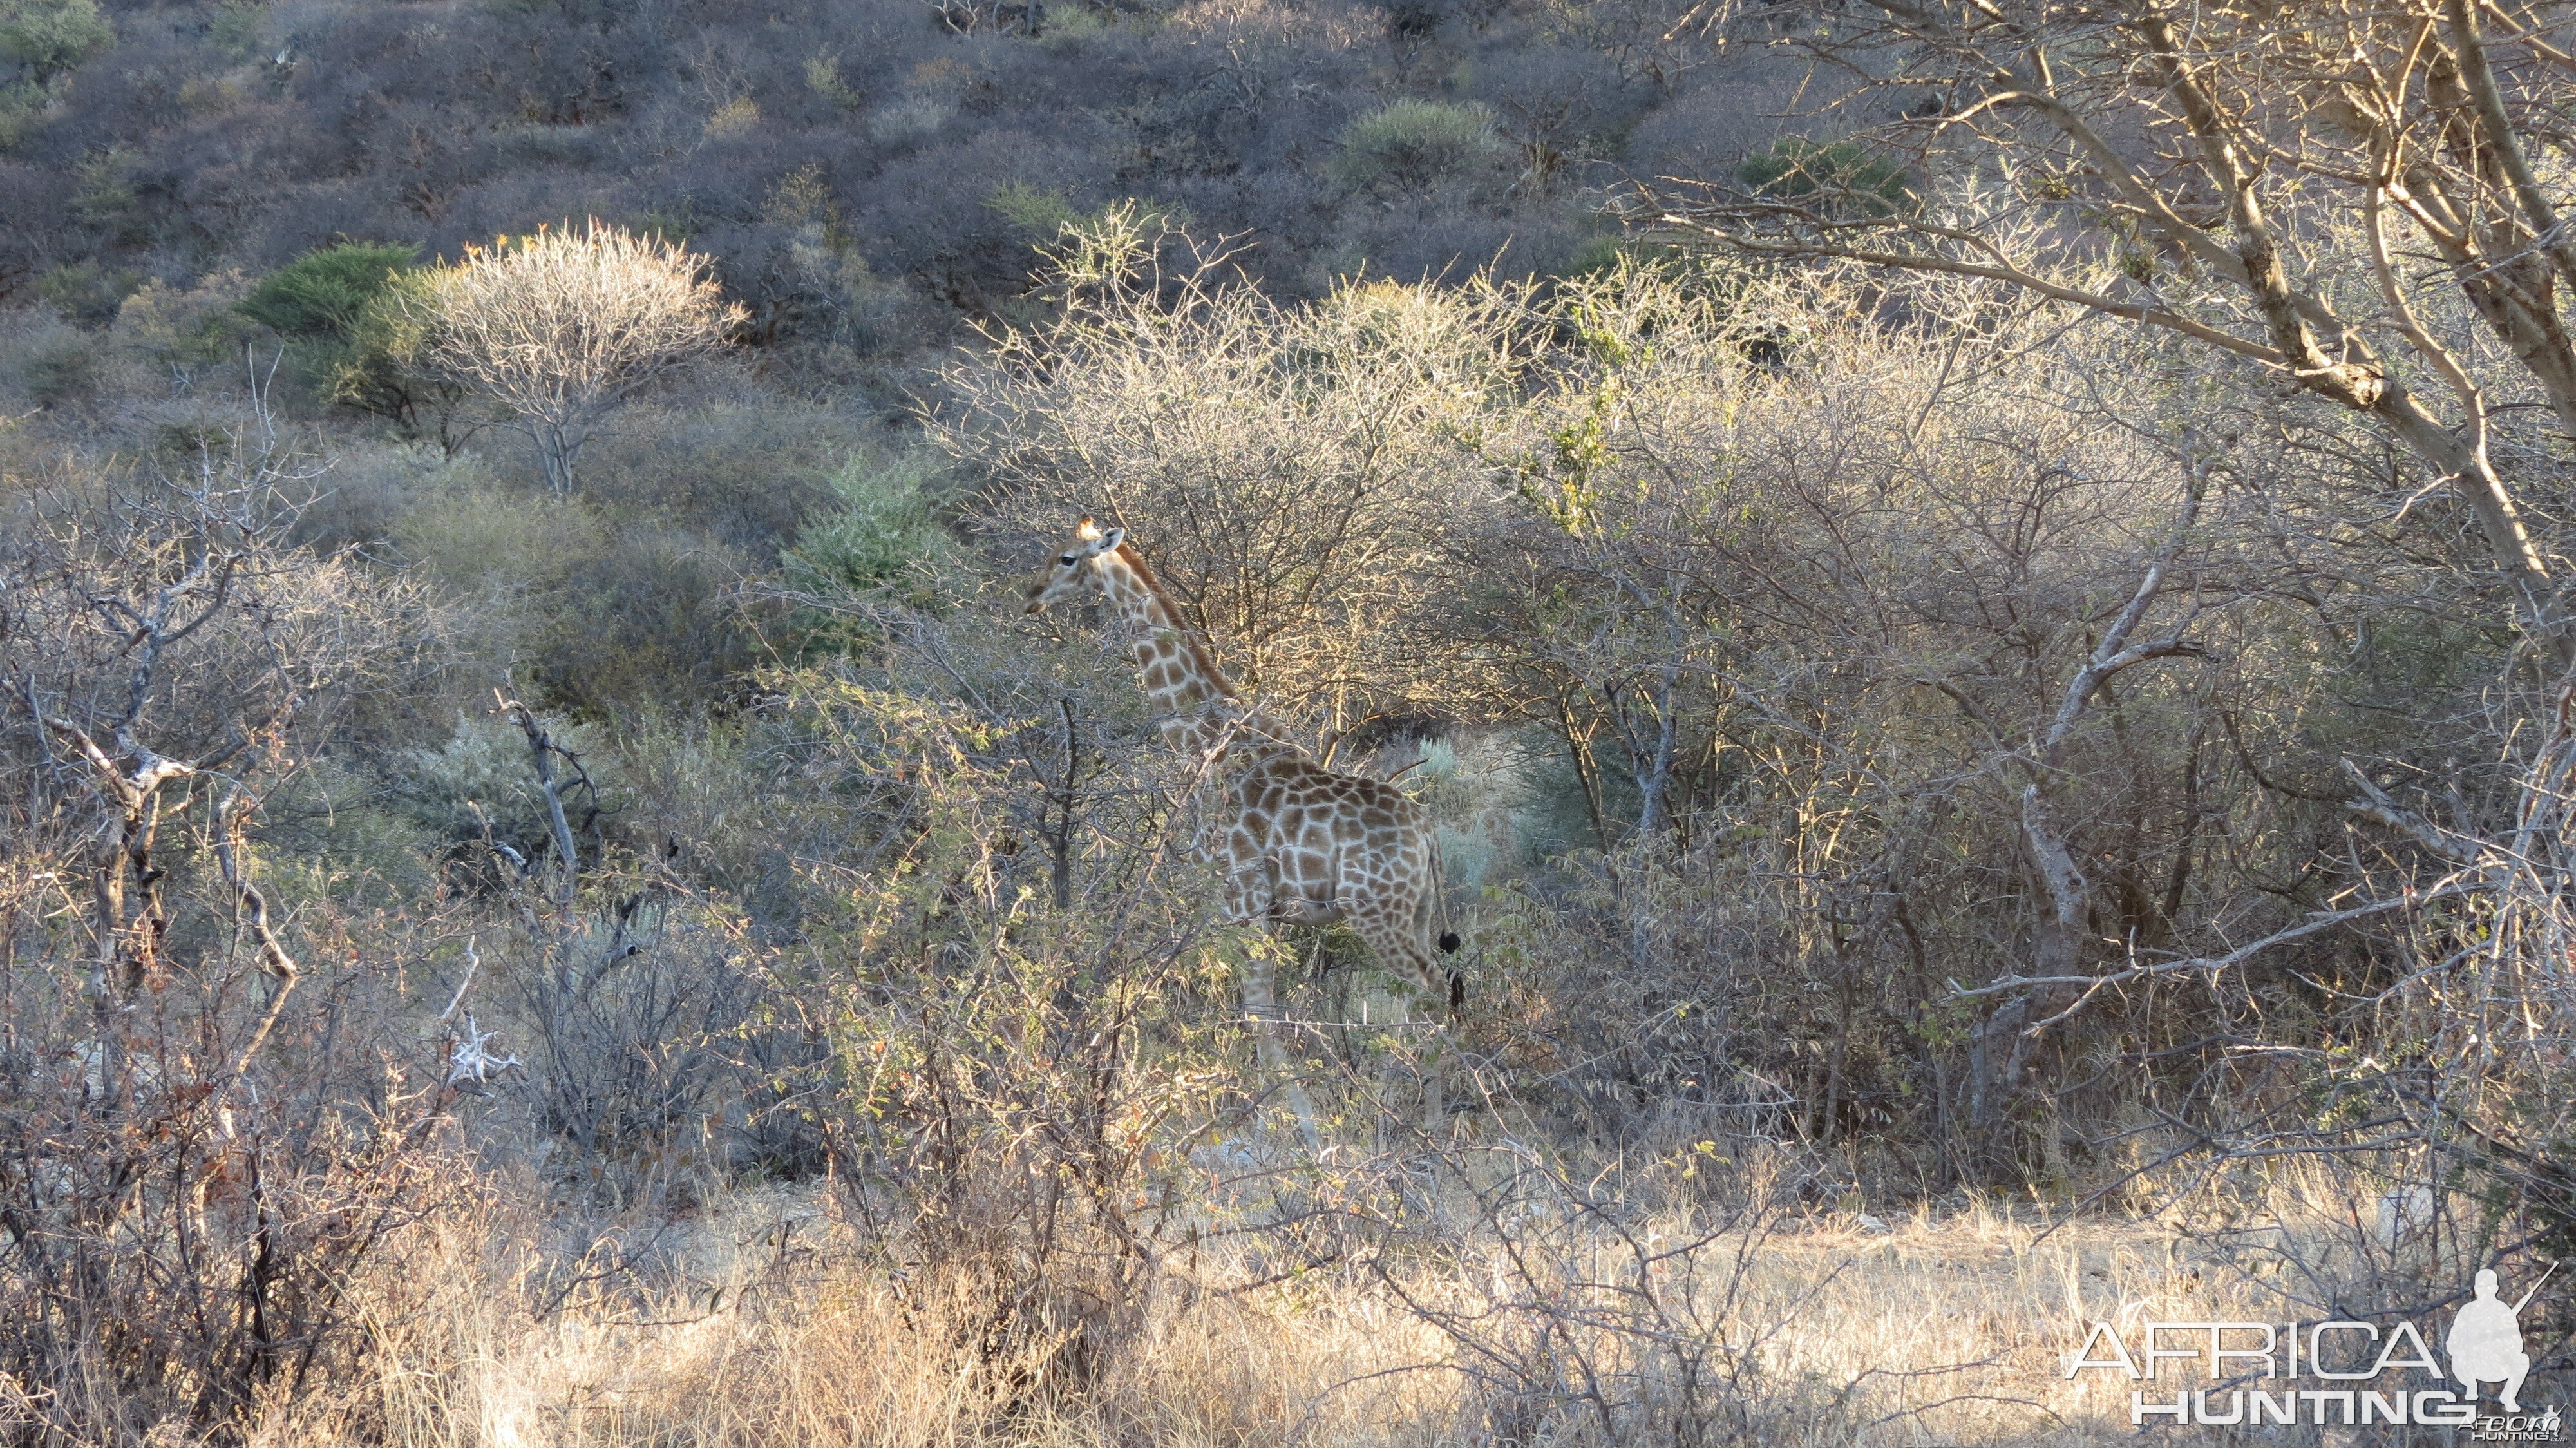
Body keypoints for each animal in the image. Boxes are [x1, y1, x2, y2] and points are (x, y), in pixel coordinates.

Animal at [1025, 513, 1473, 1123]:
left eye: (1069, 558)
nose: (1031, 596)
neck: (1205, 743)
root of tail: (1426, 831)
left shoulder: (1243, 896)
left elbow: (1260, 1014)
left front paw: (1297, 1127)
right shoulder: (1262, 908)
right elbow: (1264, 1012)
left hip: (1375, 913)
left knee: (1432, 989)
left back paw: (1431, 1125)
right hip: (1417, 911)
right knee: (1437, 990)